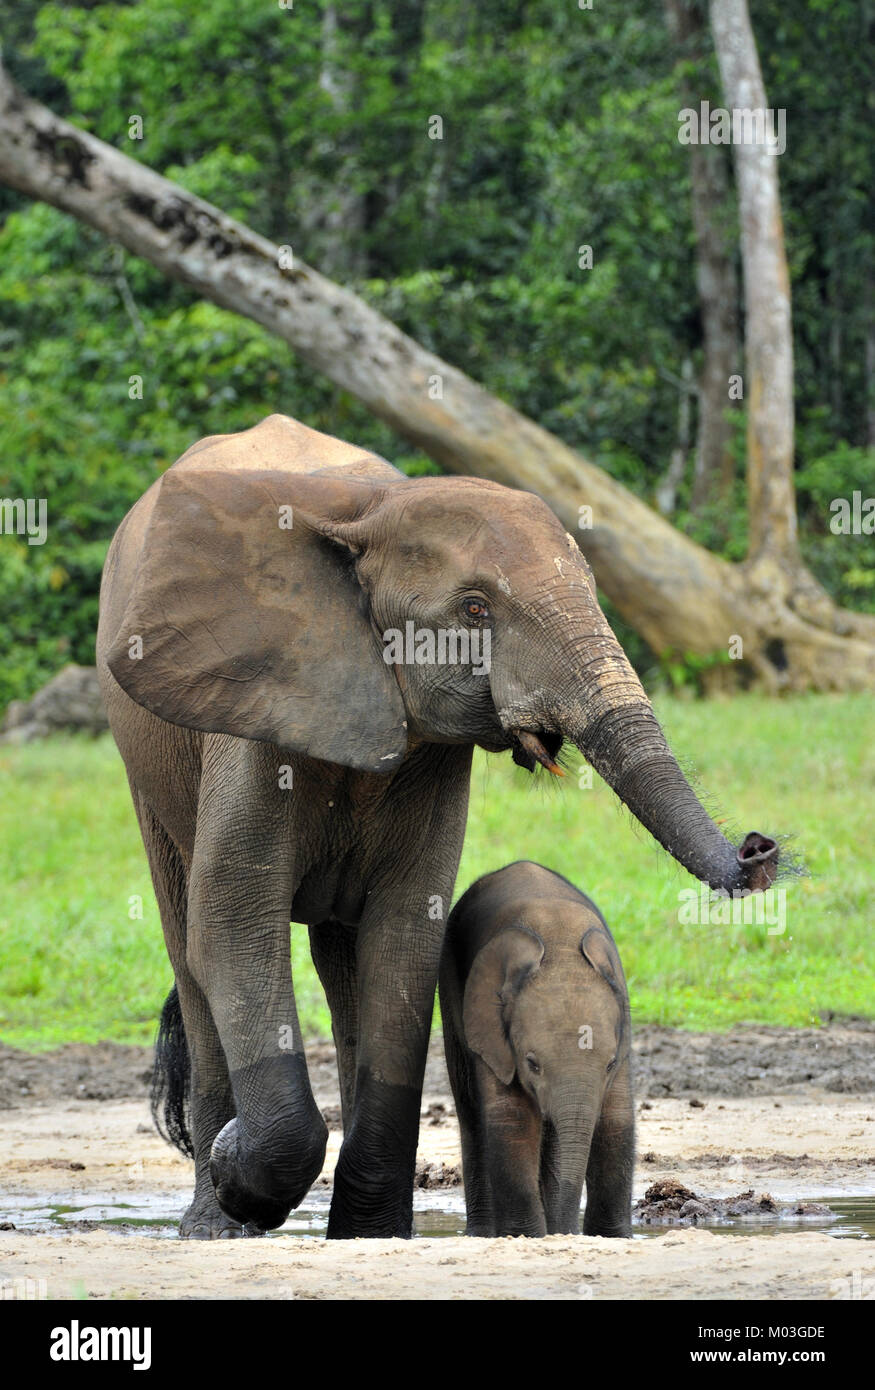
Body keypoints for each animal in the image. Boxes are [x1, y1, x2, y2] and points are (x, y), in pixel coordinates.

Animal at [440, 861, 634, 1238]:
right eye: (532, 1063)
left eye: (609, 1064)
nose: (568, 1231)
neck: (559, 943)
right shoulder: (493, 1031)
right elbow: (511, 1119)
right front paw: (526, 1236)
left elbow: (616, 1120)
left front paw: (613, 1237)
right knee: (471, 1114)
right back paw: (483, 1233)